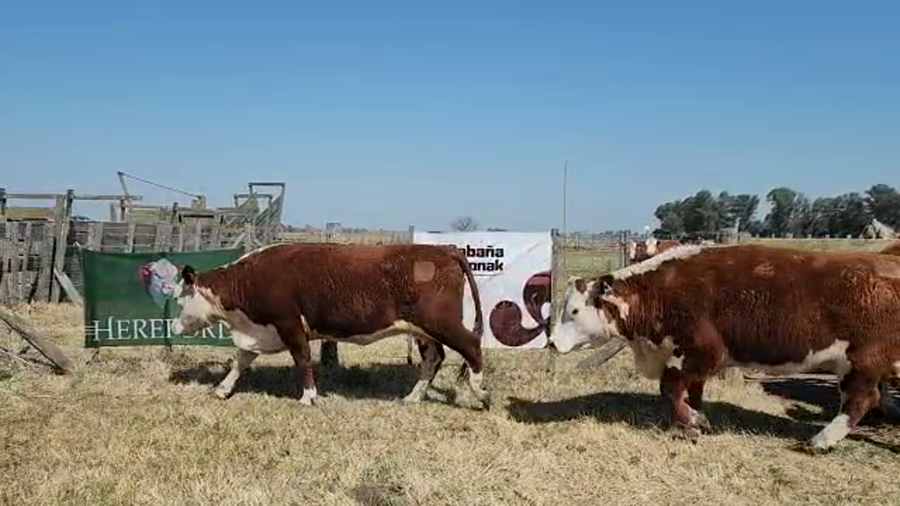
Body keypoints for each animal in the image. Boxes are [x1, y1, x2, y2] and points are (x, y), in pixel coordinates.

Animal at [169, 242, 491, 409]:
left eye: (179, 298)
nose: (172, 328)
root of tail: (445, 249)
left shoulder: (289, 324)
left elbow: (302, 359)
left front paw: (308, 396)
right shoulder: (261, 330)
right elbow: (242, 360)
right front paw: (223, 388)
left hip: (440, 322)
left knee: (471, 347)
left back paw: (481, 393)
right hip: (422, 330)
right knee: (434, 358)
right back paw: (413, 396)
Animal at [548, 243, 900, 452]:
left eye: (574, 311)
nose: (551, 341)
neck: (658, 292)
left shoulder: (700, 352)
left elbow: (670, 389)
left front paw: (695, 422)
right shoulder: (693, 362)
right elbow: (692, 393)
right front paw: (692, 421)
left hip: (861, 362)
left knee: (861, 400)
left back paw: (820, 440)